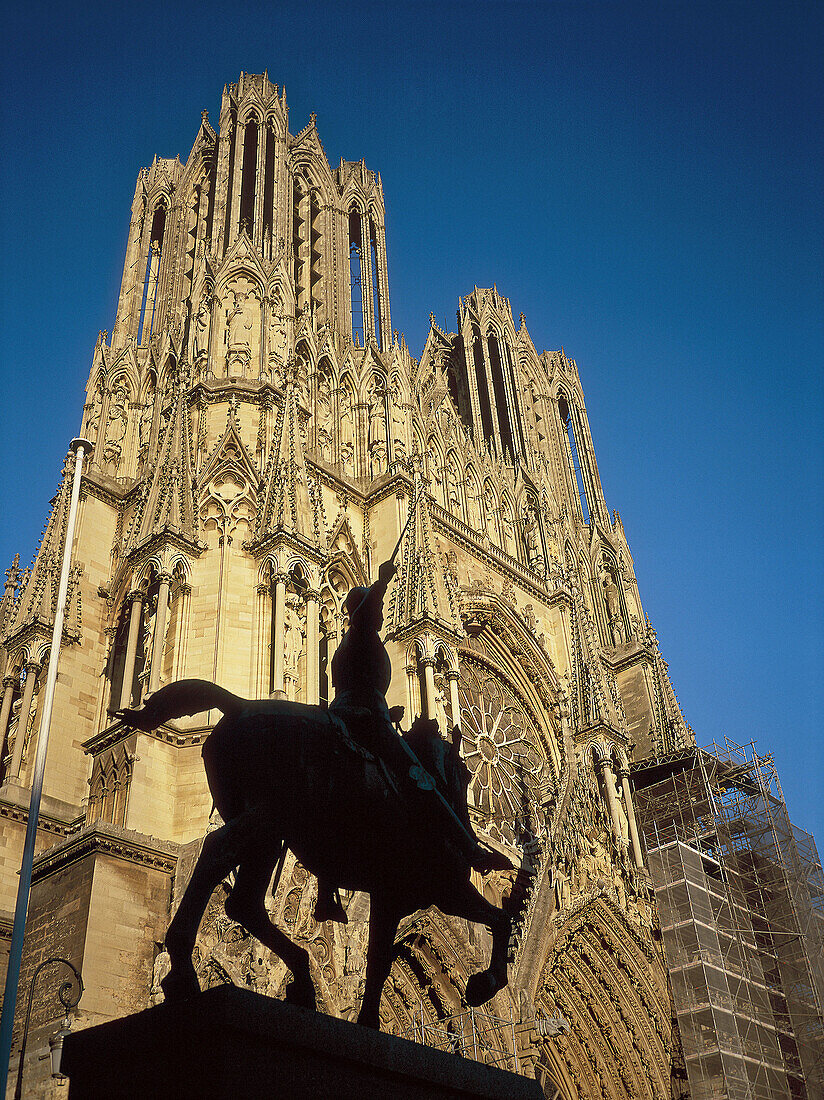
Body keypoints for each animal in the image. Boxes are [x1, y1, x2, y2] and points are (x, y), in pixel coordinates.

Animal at [117, 677, 514, 1029]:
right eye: (465, 772)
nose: (472, 830)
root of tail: (240, 704)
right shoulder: (444, 889)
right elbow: (499, 920)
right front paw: (485, 982)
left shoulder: (393, 896)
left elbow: (379, 961)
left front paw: (368, 1020)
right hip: (271, 815)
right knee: (217, 855)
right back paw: (188, 968)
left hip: (269, 831)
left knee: (244, 900)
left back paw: (297, 975)